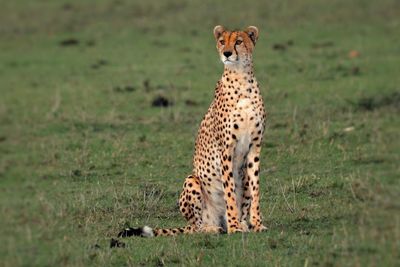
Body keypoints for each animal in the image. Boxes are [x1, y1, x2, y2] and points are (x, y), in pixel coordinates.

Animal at [120, 25, 268, 239]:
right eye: (222, 41)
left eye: (239, 41)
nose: (227, 53)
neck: (241, 79)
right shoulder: (226, 149)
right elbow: (229, 191)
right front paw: (234, 227)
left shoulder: (254, 147)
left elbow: (255, 189)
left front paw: (256, 224)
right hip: (192, 180)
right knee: (196, 228)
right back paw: (215, 228)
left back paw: (242, 223)